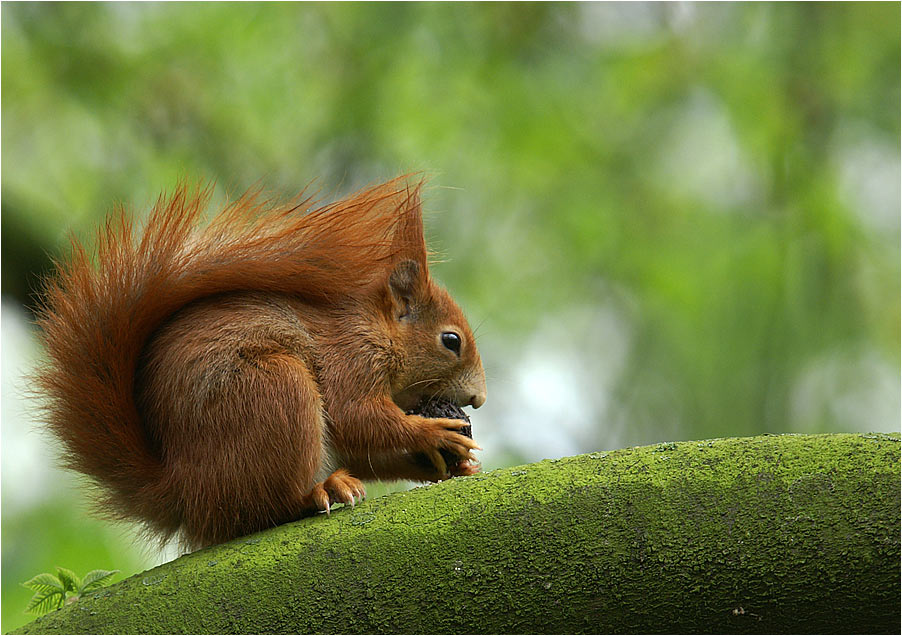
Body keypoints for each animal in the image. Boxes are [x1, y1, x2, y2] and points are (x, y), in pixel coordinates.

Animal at [37, 176, 488, 548]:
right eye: (451, 341)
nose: (479, 399)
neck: (377, 330)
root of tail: (185, 494)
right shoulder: (351, 357)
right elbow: (355, 416)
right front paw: (434, 433)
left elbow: (362, 449)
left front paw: (451, 466)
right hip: (276, 390)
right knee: (264, 509)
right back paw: (318, 492)